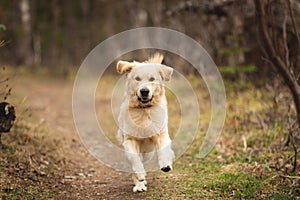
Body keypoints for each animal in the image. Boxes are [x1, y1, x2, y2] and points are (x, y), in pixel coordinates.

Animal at [116, 53, 175, 192]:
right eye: (137, 78)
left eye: (152, 79)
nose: (144, 91)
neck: (144, 110)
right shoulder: (130, 139)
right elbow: (135, 159)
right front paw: (140, 176)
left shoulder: (161, 133)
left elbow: (164, 149)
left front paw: (166, 164)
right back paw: (139, 185)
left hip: (148, 152)